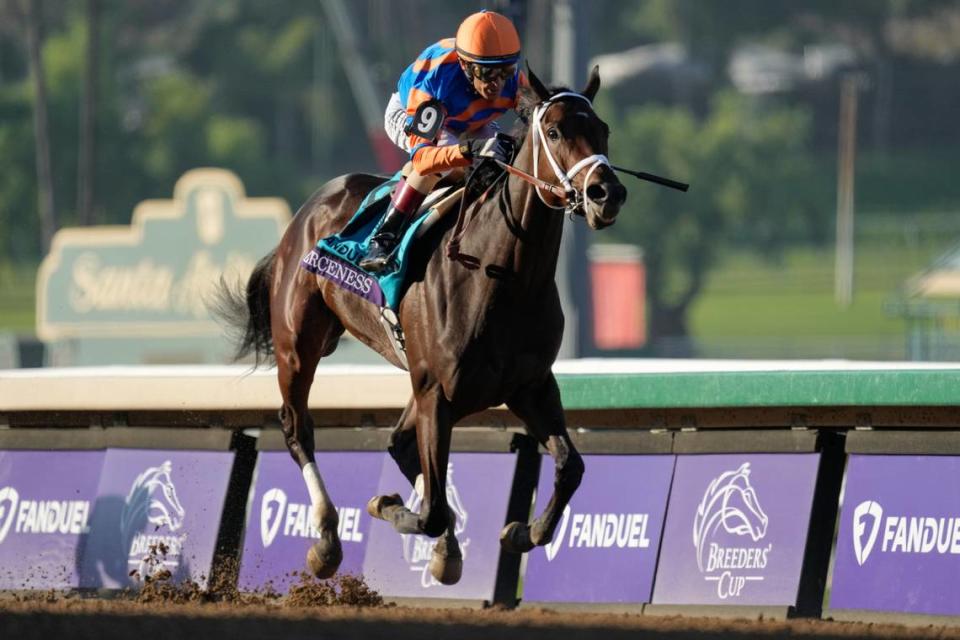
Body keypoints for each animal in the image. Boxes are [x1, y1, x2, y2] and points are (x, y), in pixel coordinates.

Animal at [214, 69, 628, 584]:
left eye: (603, 130)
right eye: (553, 132)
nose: (607, 194)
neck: (502, 275)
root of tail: (306, 211)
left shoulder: (529, 386)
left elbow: (571, 466)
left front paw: (522, 531)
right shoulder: (438, 391)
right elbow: (429, 511)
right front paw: (384, 503)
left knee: (400, 444)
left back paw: (444, 549)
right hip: (299, 344)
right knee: (298, 427)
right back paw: (328, 538)